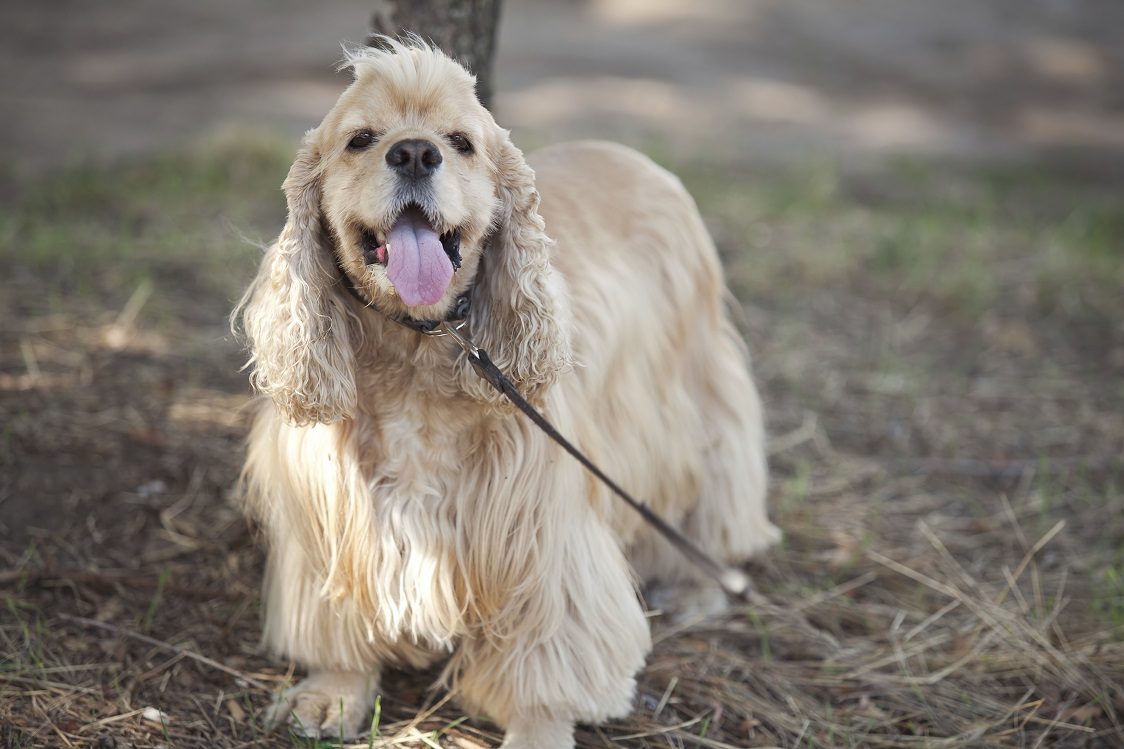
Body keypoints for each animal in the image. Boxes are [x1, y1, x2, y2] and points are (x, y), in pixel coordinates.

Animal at [234, 37, 782, 742]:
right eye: (360, 139)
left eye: (461, 142)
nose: (415, 153)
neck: (419, 350)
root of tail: (631, 153)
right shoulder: (333, 521)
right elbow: (340, 623)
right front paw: (332, 692)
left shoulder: (544, 541)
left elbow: (546, 657)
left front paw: (538, 729)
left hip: (699, 389)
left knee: (715, 494)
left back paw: (698, 587)